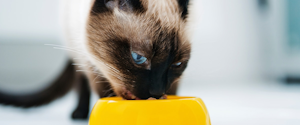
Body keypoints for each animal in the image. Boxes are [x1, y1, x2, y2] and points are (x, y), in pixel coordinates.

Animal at [0, 0, 191, 119]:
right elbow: (101, 92)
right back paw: (79, 113)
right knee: (81, 83)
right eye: (138, 57)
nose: (156, 92)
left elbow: (173, 92)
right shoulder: (92, 63)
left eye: (177, 64)